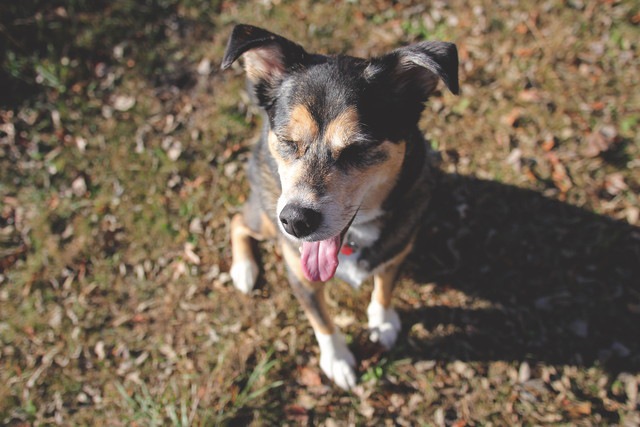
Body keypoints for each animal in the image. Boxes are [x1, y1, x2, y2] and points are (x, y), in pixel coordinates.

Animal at [222, 23, 458, 392]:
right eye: (288, 142)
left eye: (357, 148)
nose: (296, 221)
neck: (353, 238)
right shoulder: (300, 276)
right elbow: (321, 320)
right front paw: (337, 360)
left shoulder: (398, 251)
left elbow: (384, 287)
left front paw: (382, 321)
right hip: (265, 218)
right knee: (236, 220)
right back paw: (244, 269)